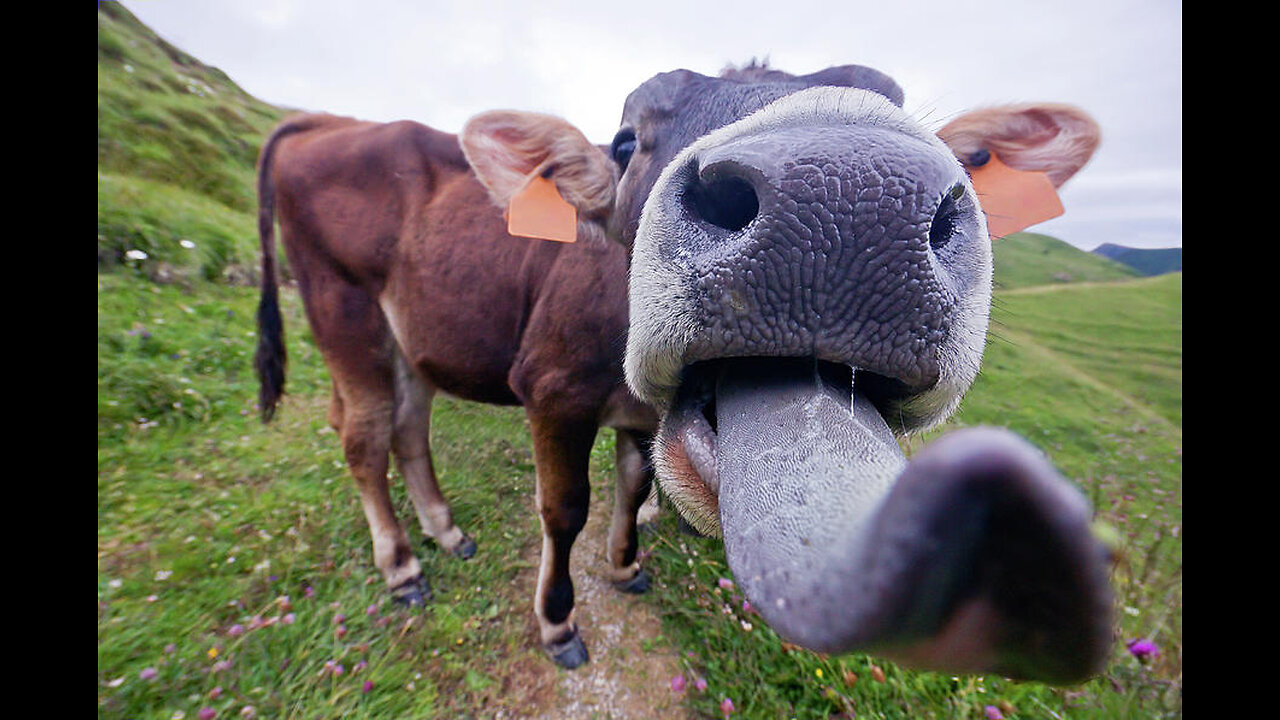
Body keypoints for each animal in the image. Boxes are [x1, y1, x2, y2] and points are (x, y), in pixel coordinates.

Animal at [256, 112, 665, 666]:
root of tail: (329, 122)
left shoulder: (645, 412)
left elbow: (634, 484)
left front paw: (624, 566)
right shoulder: (555, 389)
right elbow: (565, 510)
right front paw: (558, 622)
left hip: (413, 338)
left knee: (405, 428)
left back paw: (446, 531)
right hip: (343, 309)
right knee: (364, 437)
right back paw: (401, 567)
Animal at [460, 64, 1111, 681]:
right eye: (624, 143)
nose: (848, 194)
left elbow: (633, 484)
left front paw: (624, 565)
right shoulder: (552, 390)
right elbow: (565, 509)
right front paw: (559, 624)